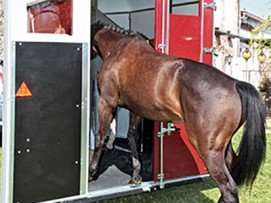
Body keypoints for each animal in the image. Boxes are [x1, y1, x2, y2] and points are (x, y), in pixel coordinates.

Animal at [90, 22, 266, 203]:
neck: (119, 49)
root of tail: (236, 84)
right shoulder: (136, 109)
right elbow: (132, 136)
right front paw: (136, 176)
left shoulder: (106, 102)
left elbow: (100, 136)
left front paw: (91, 172)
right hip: (224, 148)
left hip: (209, 151)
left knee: (228, 188)